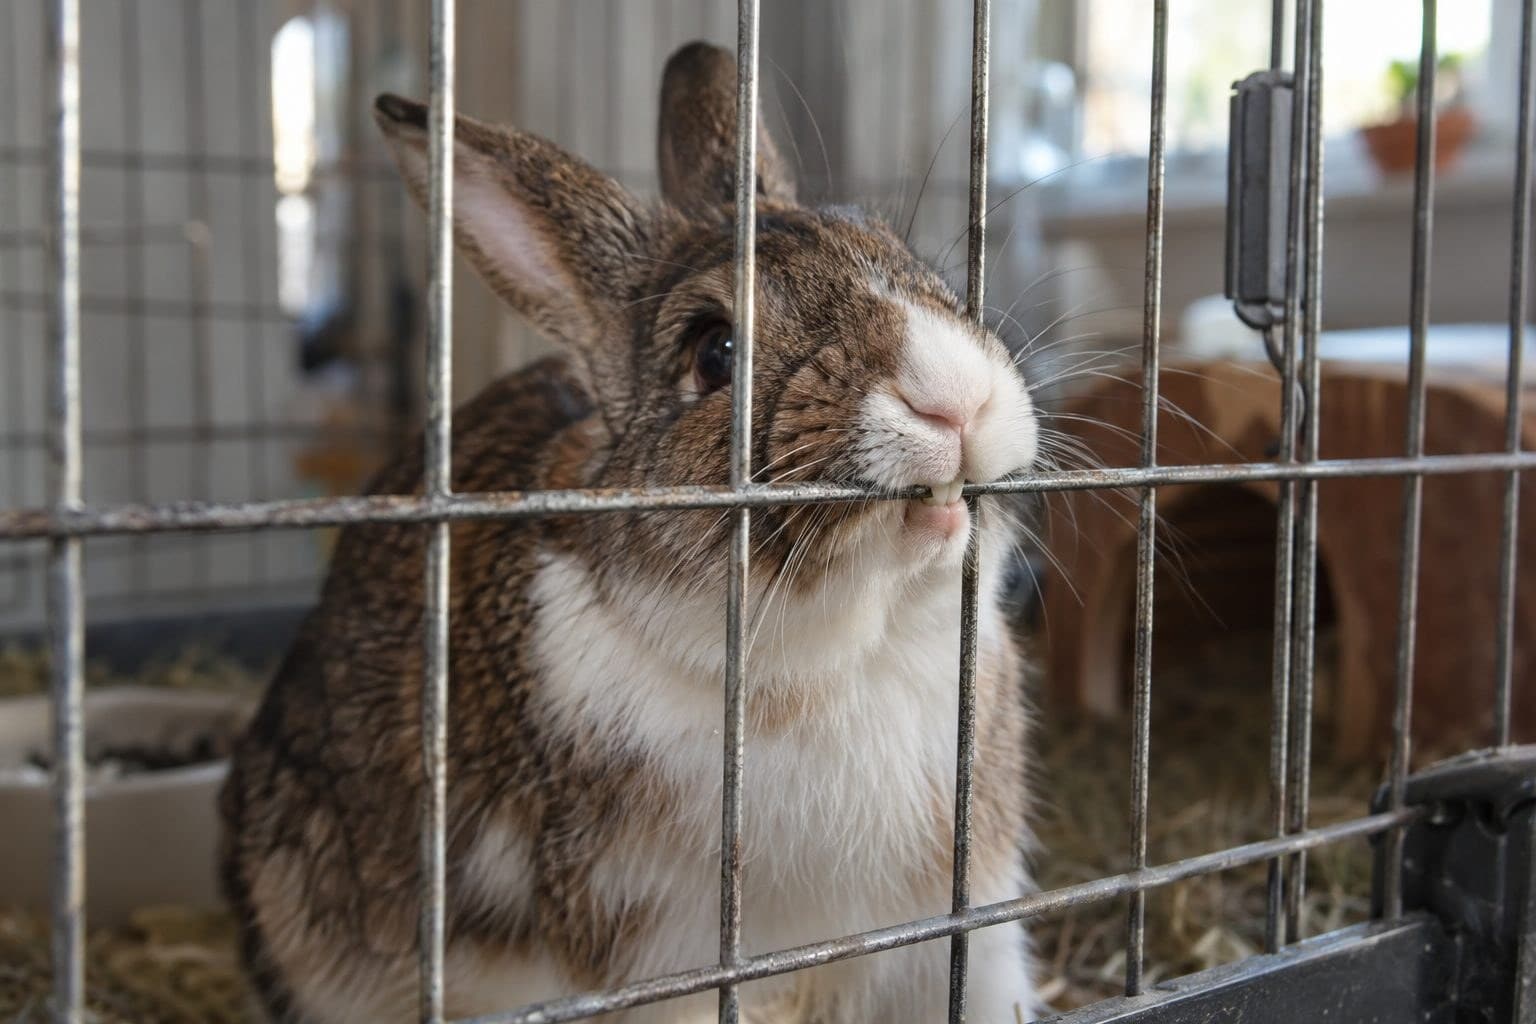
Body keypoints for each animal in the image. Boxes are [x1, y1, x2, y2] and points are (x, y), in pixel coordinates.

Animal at [220, 41, 1040, 1024]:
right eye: (714, 351)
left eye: (902, 258)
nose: (955, 398)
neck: (845, 658)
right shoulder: (665, 958)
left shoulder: (965, 923)